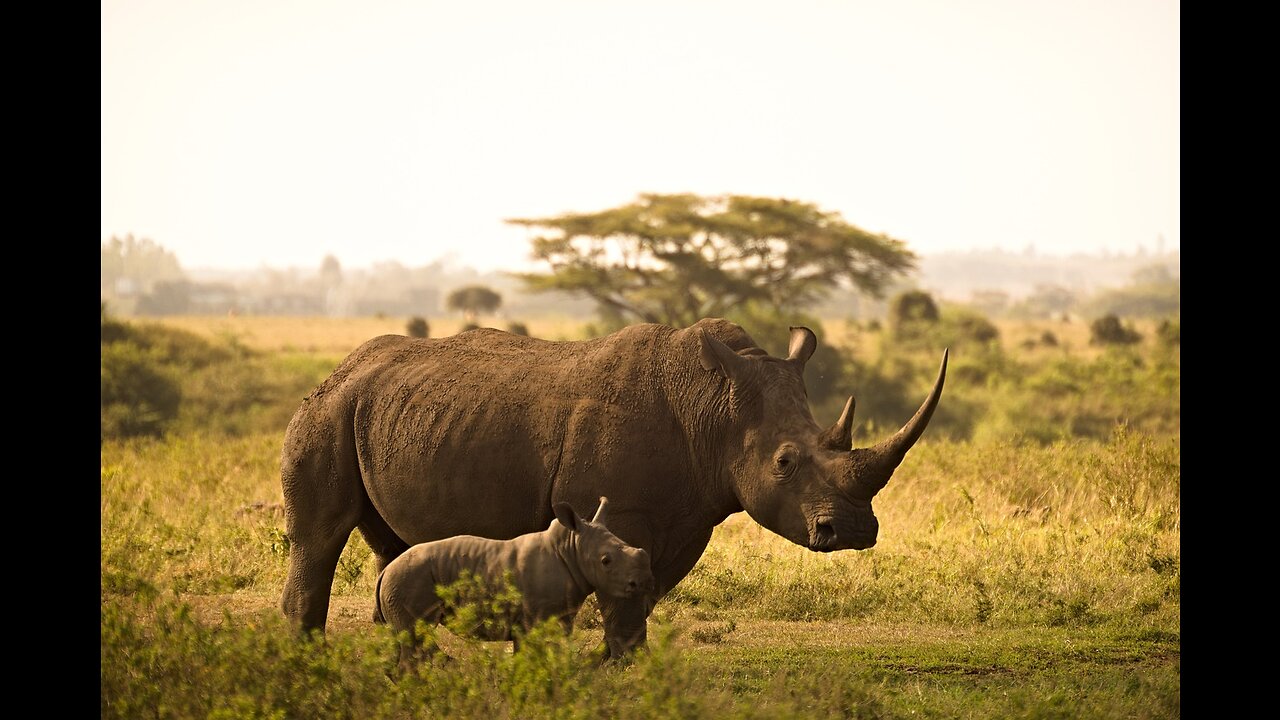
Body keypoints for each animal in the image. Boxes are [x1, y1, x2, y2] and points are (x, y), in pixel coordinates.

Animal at [371, 497, 650, 666]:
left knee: (401, 640)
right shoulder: (533, 620)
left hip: (400, 583)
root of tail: (384, 574)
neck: (571, 549)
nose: (642, 583)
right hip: (407, 581)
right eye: (606, 561)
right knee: (415, 640)